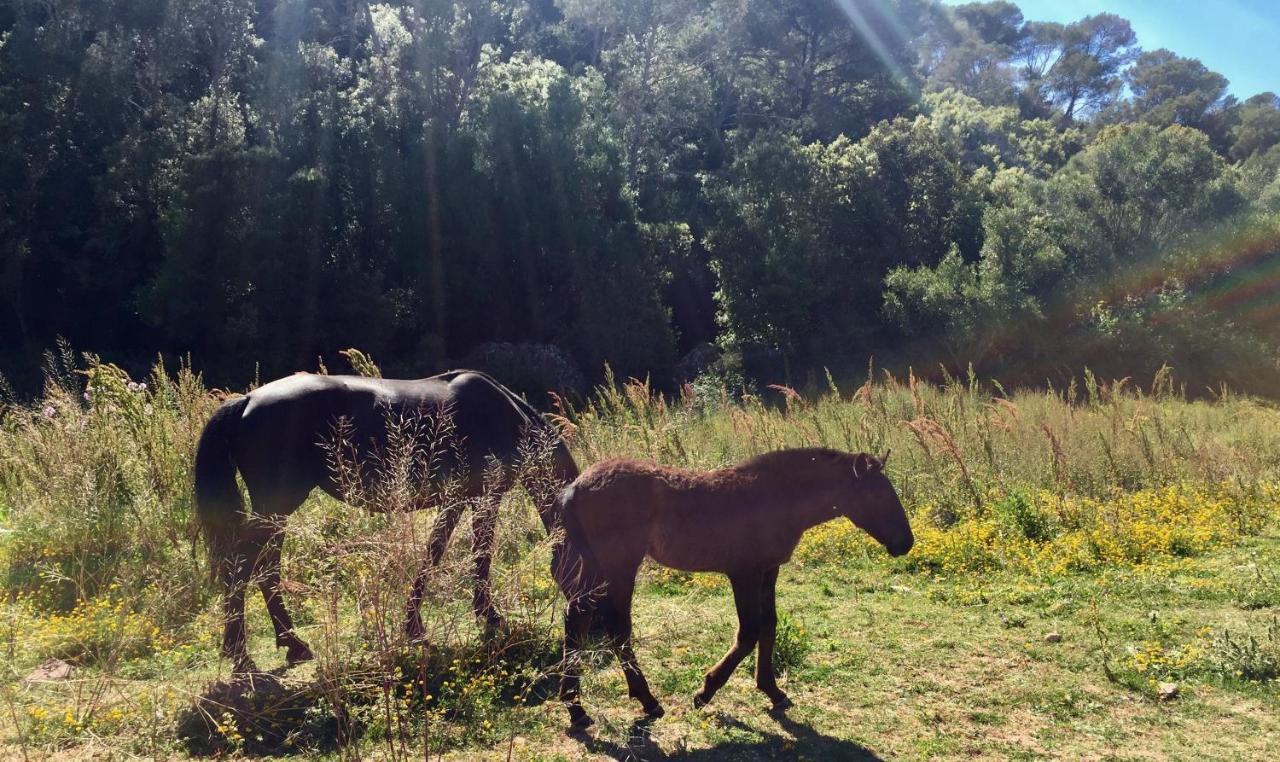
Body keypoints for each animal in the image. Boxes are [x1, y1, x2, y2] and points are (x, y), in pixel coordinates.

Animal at [192, 368, 578, 676]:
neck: (504, 414)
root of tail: (247, 400)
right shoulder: (484, 497)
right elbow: (479, 554)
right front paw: (489, 616)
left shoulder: (458, 499)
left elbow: (434, 550)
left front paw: (414, 625)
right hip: (277, 506)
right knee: (248, 567)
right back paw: (246, 656)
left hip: (275, 511)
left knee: (263, 568)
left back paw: (289, 645)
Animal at [555, 450, 916, 732]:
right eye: (878, 495)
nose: (906, 543)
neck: (772, 497)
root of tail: (574, 488)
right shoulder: (744, 573)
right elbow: (749, 632)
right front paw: (705, 692)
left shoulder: (769, 571)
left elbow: (768, 626)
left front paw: (773, 691)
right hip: (620, 567)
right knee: (615, 628)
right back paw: (645, 701)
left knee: (577, 620)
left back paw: (576, 708)